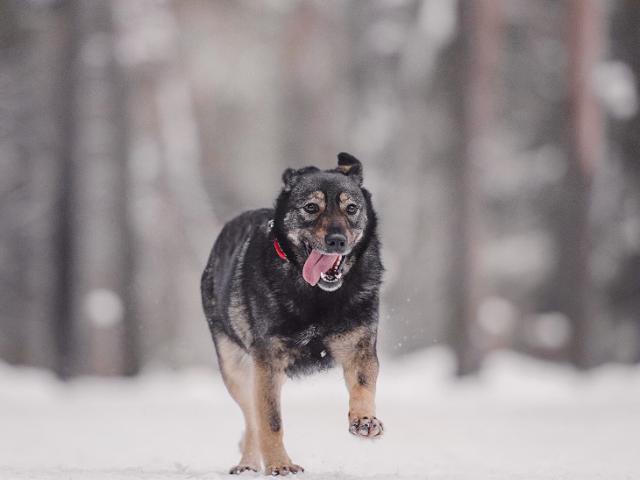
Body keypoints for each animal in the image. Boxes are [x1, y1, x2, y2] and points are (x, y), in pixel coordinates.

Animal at [200, 152, 382, 474]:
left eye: (351, 208)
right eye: (311, 207)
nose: (337, 240)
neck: (317, 296)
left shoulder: (358, 348)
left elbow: (362, 387)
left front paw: (364, 420)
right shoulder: (268, 363)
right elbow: (270, 422)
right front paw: (280, 466)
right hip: (237, 370)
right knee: (252, 418)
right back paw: (249, 463)